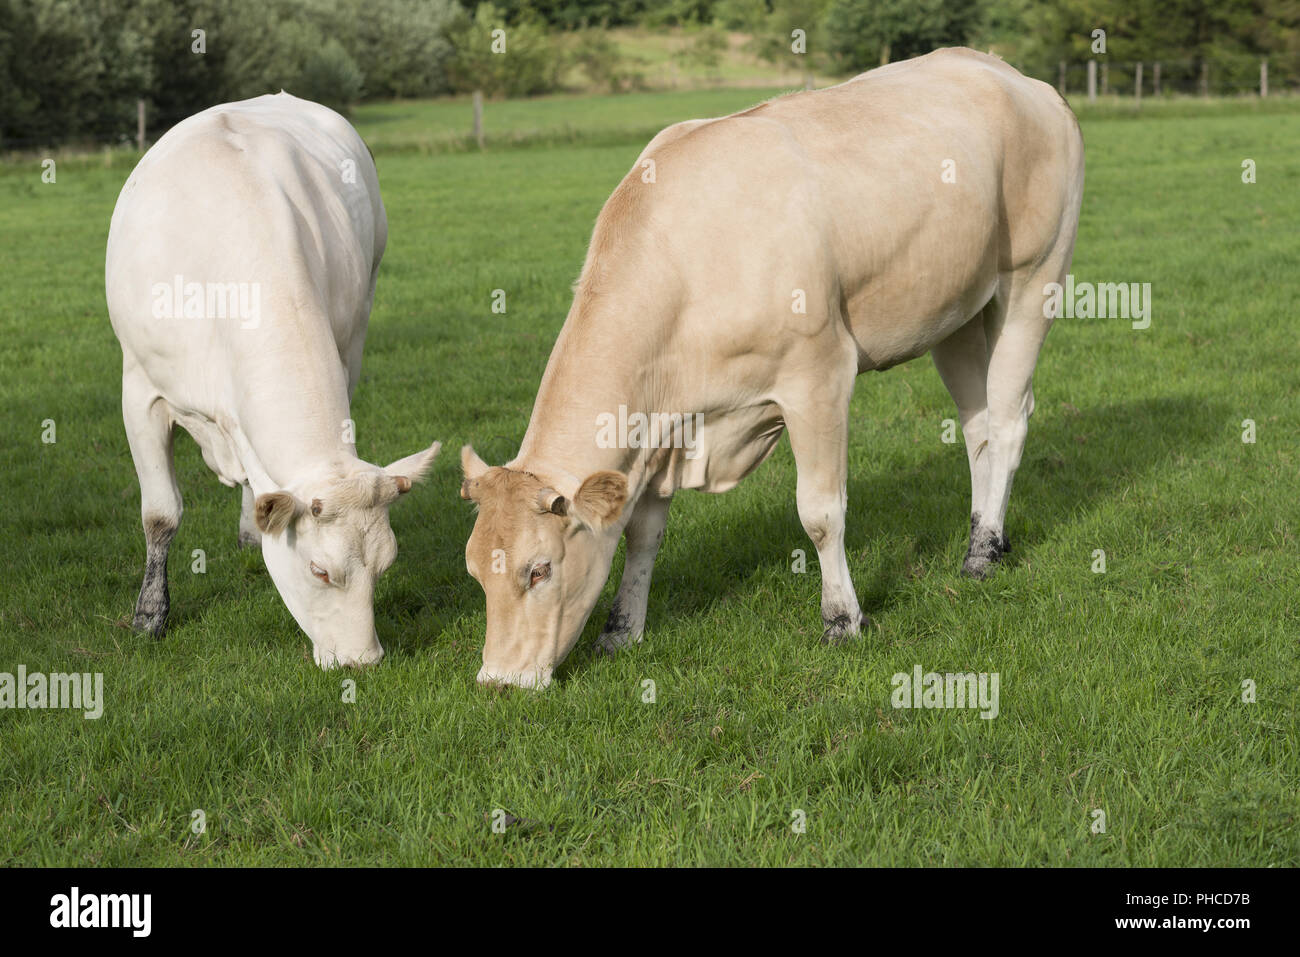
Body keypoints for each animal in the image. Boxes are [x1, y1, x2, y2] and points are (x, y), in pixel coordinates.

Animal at [106, 93, 440, 668]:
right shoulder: (141, 392)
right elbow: (160, 515)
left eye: (386, 565)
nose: (364, 661)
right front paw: (149, 616)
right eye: (319, 570)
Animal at [459, 49, 1085, 689]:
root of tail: (1007, 72)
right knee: (978, 428)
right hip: (954, 311)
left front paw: (843, 620)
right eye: (475, 573)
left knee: (1008, 422)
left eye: (539, 569)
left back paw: (983, 555)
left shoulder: (819, 376)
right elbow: (642, 531)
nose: (498, 682)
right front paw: (621, 631)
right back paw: (983, 537)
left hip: (1034, 279)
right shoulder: (663, 425)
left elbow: (821, 512)